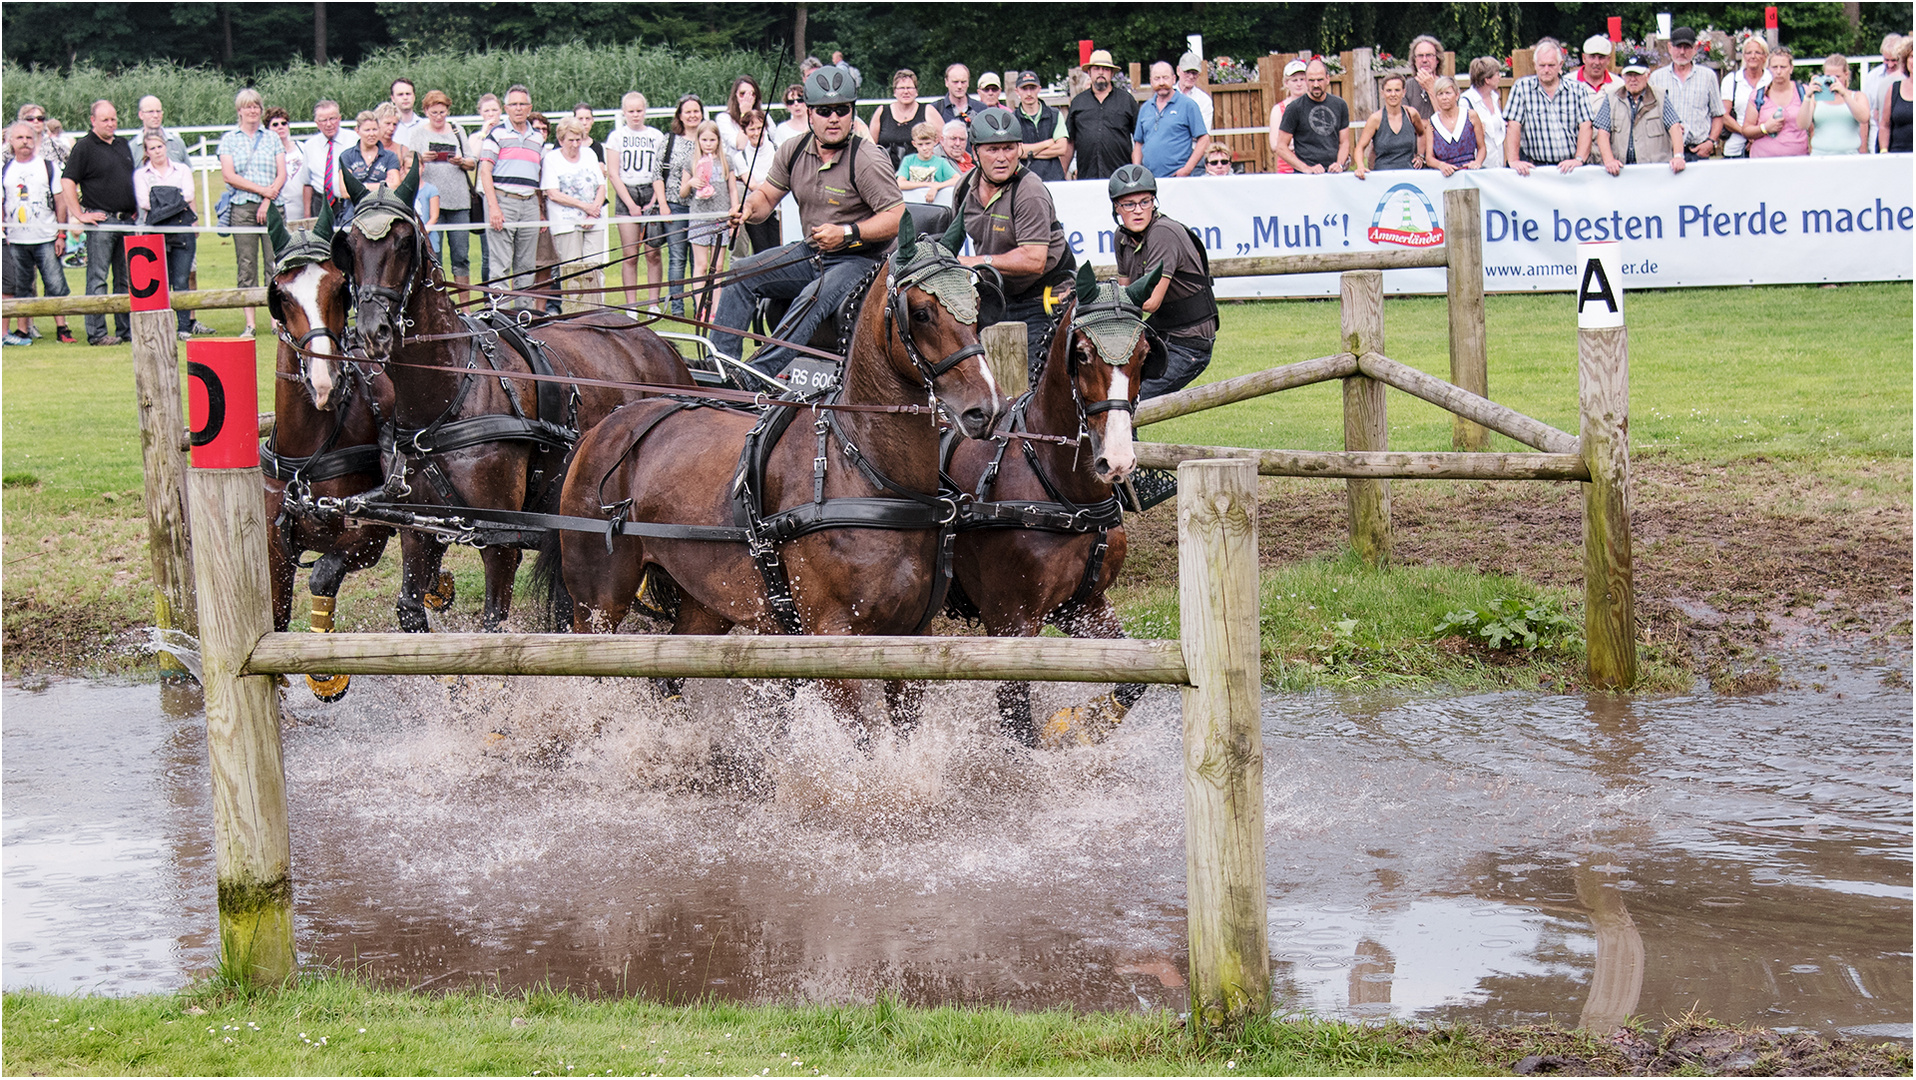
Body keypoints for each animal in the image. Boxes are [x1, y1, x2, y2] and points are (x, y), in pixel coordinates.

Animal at [262, 203, 392, 704]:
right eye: (280, 295)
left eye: (339, 286)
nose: (324, 382)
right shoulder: (275, 546)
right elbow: (276, 620)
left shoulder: (369, 536)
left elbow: (322, 574)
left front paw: (325, 674)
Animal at [335, 163, 697, 628]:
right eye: (350, 246)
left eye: (403, 243)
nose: (372, 330)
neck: (451, 392)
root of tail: (660, 344)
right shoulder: (420, 528)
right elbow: (410, 608)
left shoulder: (499, 538)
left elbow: (495, 622)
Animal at [551, 222, 1011, 735]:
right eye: (923, 312)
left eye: (977, 306)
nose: (986, 408)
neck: (867, 475)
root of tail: (602, 428)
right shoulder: (833, 639)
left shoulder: (912, 637)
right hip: (598, 601)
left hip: (705, 601)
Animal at [946, 262, 1164, 746]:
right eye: (1081, 354)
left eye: (1143, 354)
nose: (1116, 461)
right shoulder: (1010, 622)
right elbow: (1018, 729)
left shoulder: (1084, 605)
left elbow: (1133, 679)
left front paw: (1081, 723)